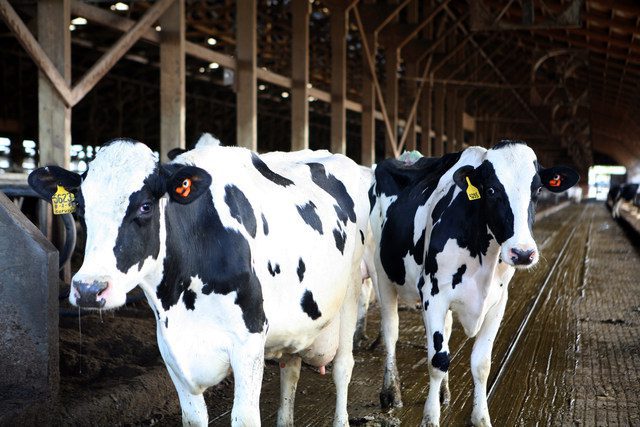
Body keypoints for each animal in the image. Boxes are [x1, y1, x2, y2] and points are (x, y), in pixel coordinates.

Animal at [29, 137, 372, 426]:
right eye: (81, 208)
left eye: (145, 206)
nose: (88, 289)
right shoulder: (171, 349)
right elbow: (193, 418)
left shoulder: (249, 339)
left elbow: (245, 418)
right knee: (291, 368)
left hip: (352, 292)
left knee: (343, 367)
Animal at [369, 140, 579, 426]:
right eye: (491, 190)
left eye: (537, 190)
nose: (523, 253)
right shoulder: (433, 294)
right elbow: (438, 360)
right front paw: (430, 417)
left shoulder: (498, 302)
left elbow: (481, 364)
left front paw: (481, 417)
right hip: (383, 274)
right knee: (391, 332)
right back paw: (391, 392)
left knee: (445, 331)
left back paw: (444, 392)